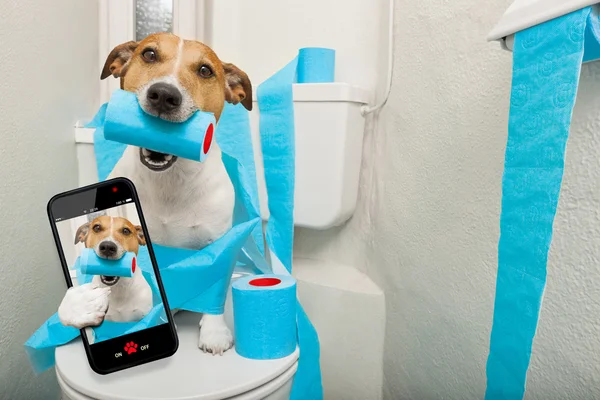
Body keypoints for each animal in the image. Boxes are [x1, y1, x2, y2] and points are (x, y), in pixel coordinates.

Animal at [57, 32, 252, 354]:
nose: (163, 94)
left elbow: (214, 288)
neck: (170, 181)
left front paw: (214, 332)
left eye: (205, 70)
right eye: (149, 54)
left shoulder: (218, 242)